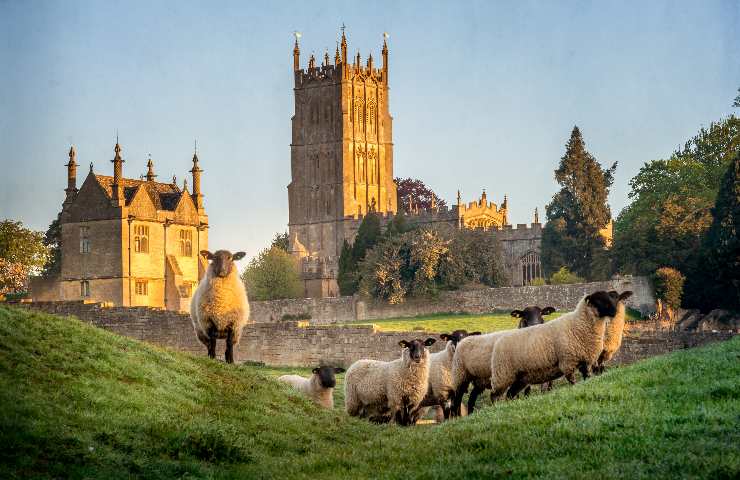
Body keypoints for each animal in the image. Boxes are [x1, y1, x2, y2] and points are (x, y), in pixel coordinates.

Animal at [488, 290, 616, 404]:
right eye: (598, 300)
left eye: (541, 313)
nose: (615, 312)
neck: (579, 323)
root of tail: (499, 341)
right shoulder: (567, 363)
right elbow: (572, 382)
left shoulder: (585, 362)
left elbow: (586, 378)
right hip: (503, 376)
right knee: (495, 395)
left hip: (519, 378)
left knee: (510, 393)